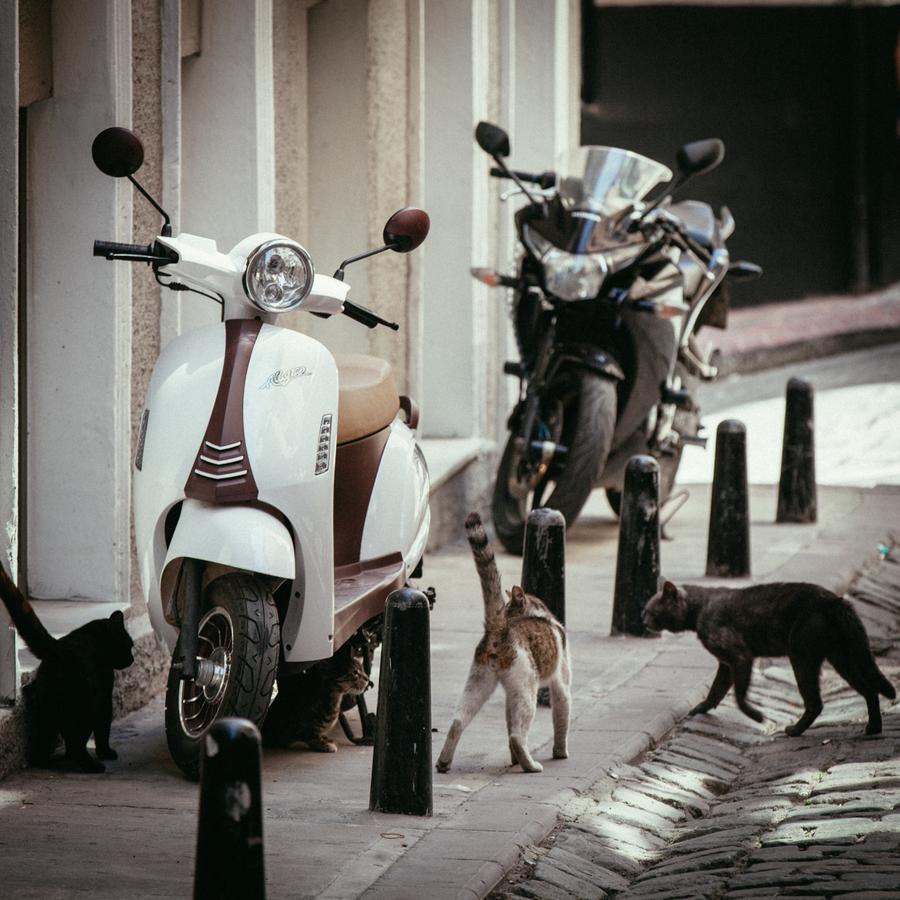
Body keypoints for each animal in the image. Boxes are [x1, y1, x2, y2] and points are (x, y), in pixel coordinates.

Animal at [0, 568, 134, 768]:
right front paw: (105, 752)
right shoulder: (104, 695)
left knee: (41, 746)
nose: (132, 659)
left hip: (46, 710)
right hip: (84, 706)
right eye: (129, 645)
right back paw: (90, 765)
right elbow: (103, 727)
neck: (96, 640)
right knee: (75, 744)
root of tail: (55, 647)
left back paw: (44, 762)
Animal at [436, 512, 568, 772]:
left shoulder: (509, 693)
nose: (506, 617)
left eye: (507, 610)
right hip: (527, 687)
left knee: (458, 721)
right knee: (517, 735)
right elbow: (562, 716)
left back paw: (444, 761)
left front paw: (513, 760)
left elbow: (508, 721)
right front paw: (560, 752)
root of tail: (498, 629)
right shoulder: (561, 680)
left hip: (479, 680)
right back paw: (530, 764)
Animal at [644, 580, 896, 736]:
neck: (699, 609)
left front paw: (756, 716)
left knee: (816, 702)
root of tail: (836, 600)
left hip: (802, 656)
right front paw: (701, 708)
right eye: (645, 611)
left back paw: (794, 730)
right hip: (841, 658)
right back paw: (873, 728)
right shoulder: (726, 663)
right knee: (869, 691)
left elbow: (738, 695)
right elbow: (717, 690)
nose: (642, 620)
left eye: (651, 612)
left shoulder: (740, 655)